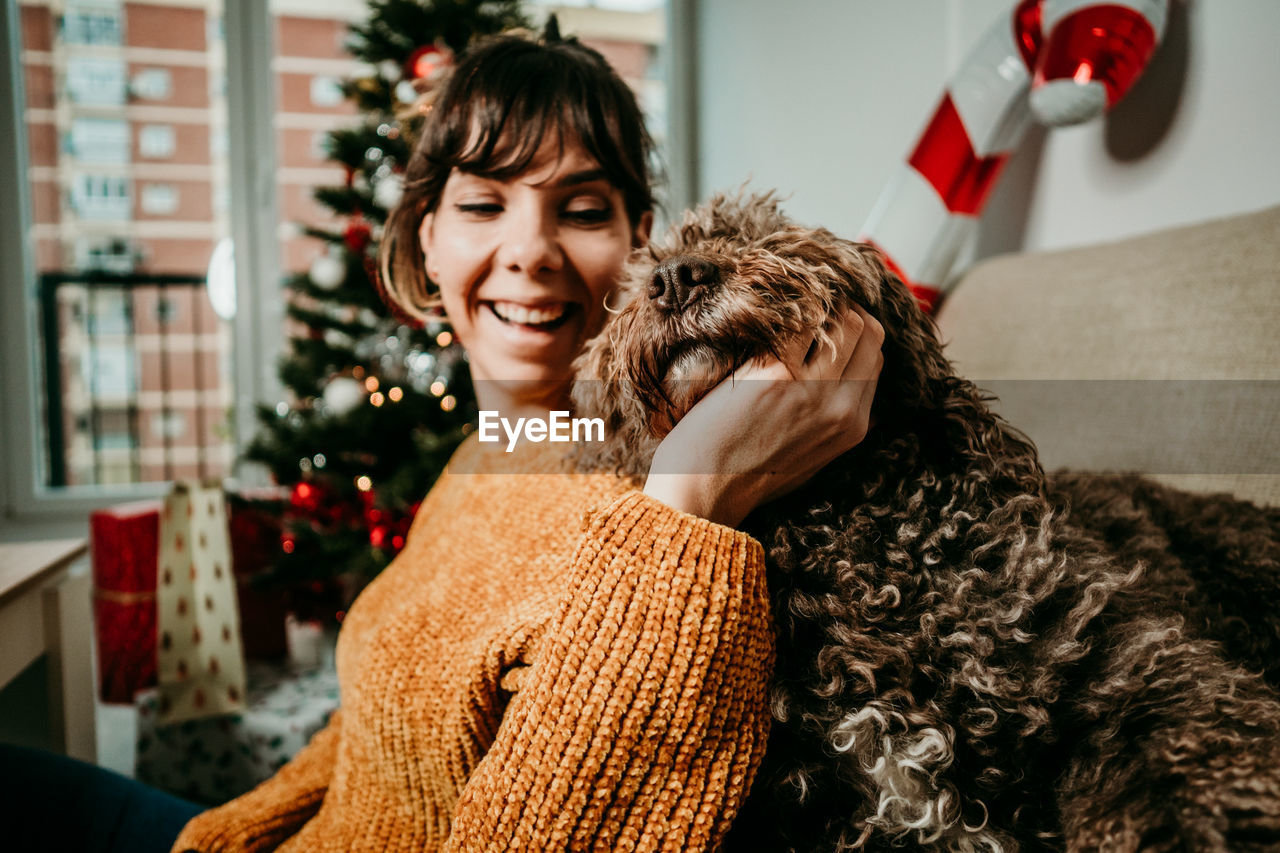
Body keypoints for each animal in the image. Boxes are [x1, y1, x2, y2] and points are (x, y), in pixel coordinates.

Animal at [573, 194, 1280, 850]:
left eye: (768, 235)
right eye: (645, 271)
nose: (675, 278)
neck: (843, 545)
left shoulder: (1121, 673)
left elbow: (1185, 772)